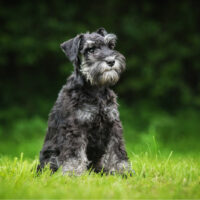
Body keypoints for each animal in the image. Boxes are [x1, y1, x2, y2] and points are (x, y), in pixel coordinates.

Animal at [37, 27, 132, 175]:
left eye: (111, 46)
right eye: (91, 50)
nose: (111, 61)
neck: (95, 89)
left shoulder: (113, 123)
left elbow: (117, 150)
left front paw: (122, 172)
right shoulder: (76, 126)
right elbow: (74, 154)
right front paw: (73, 173)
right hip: (50, 157)